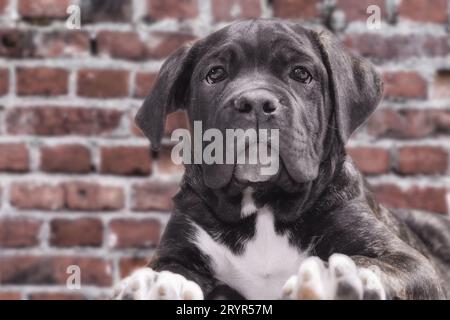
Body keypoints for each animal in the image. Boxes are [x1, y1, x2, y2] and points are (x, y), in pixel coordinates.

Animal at [113, 19, 450, 300]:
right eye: (215, 74)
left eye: (301, 73)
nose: (256, 102)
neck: (263, 204)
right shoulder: (178, 247)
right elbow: (170, 268)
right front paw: (155, 284)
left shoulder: (409, 262)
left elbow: (372, 264)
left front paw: (337, 278)